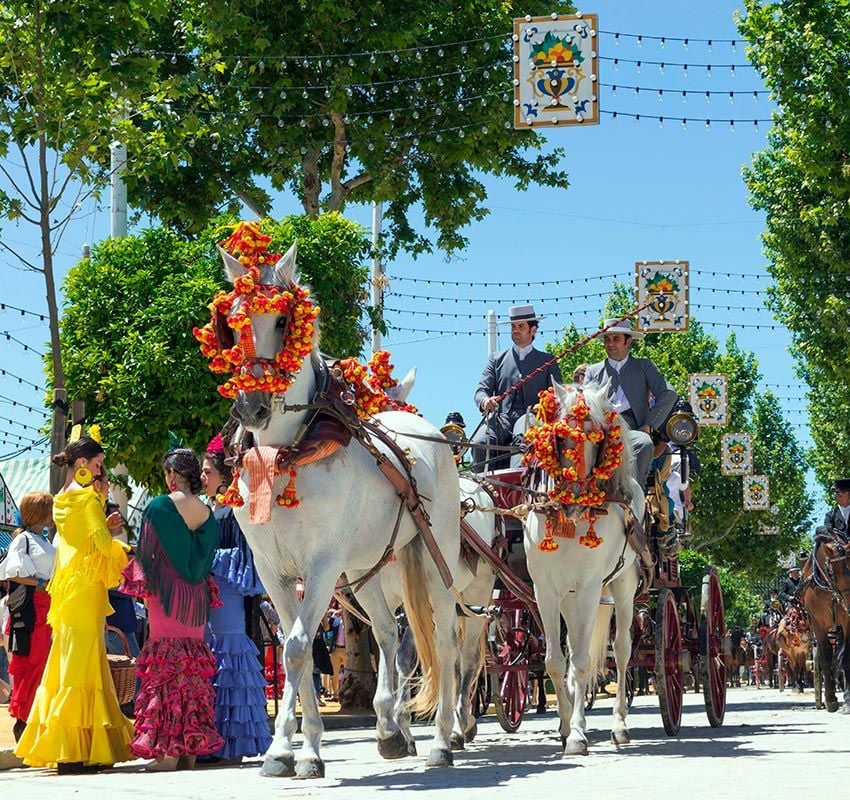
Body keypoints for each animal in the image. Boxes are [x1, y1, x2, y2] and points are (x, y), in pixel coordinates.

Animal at [215, 244, 460, 776]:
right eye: (233, 322)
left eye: (283, 320)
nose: (251, 407)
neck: (287, 454)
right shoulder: (272, 570)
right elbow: (297, 650)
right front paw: (293, 748)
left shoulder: (323, 565)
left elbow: (297, 648)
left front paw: (291, 750)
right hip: (368, 568)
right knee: (388, 633)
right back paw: (389, 730)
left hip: (437, 558)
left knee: (445, 640)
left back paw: (441, 742)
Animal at [520, 382, 640, 756]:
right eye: (559, 437)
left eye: (598, 439)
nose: (575, 498)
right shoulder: (545, 590)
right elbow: (556, 662)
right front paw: (565, 724)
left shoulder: (590, 587)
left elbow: (584, 662)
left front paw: (575, 735)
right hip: (570, 599)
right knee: (575, 649)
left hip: (622, 587)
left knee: (621, 649)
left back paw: (619, 725)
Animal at [800, 540, 848, 716]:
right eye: (833, 571)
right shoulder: (818, 625)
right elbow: (826, 660)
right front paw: (830, 699)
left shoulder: (846, 620)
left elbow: (844, 658)